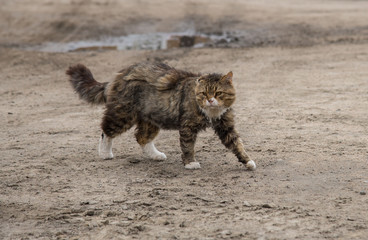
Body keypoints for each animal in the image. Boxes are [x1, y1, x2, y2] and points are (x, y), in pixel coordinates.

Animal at [66, 62, 256, 171]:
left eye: (218, 93)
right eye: (203, 93)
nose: (210, 100)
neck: (211, 113)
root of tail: (120, 74)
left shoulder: (226, 126)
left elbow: (237, 144)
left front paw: (247, 161)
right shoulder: (187, 127)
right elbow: (188, 147)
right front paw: (190, 163)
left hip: (151, 118)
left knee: (142, 137)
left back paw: (155, 155)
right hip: (123, 115)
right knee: (106, 130)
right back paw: (105, 153)